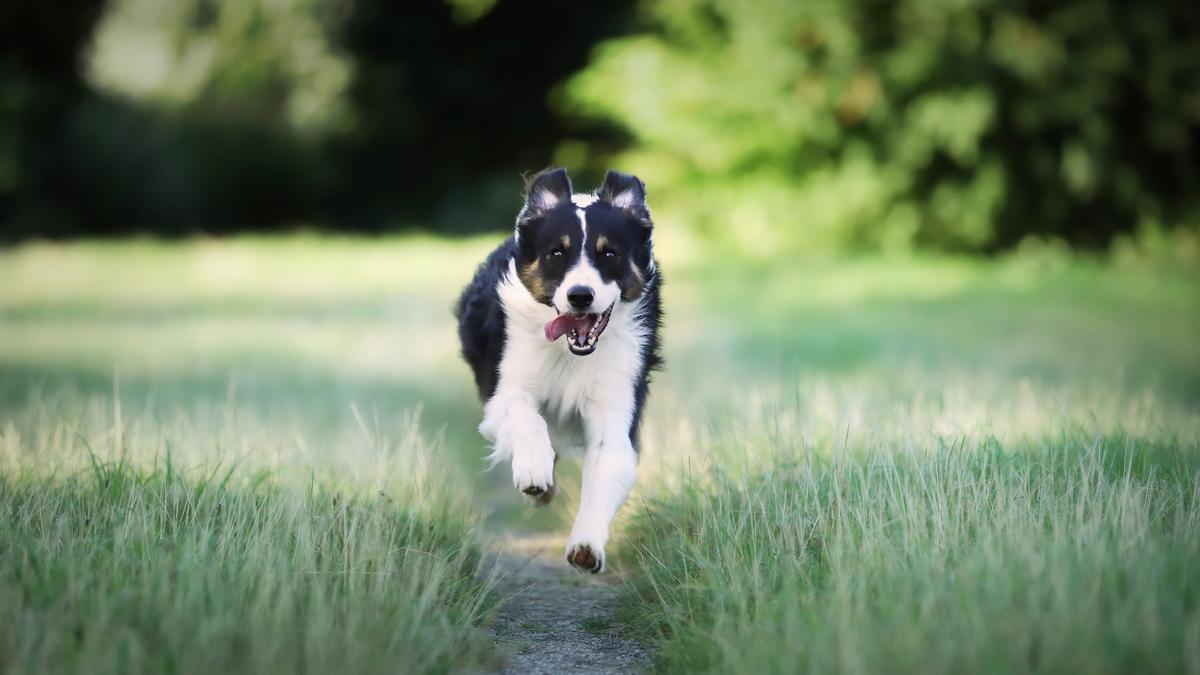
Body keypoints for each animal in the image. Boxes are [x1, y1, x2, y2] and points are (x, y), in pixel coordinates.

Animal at [458, 166, 667, 566]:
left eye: (609, 253)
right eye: (557, 252)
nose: (580, 296)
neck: (571, 354)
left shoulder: (615, 407)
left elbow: (605, 469)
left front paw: (586, 545)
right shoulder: (503, 392)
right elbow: (527, 416)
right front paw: (533, 472)